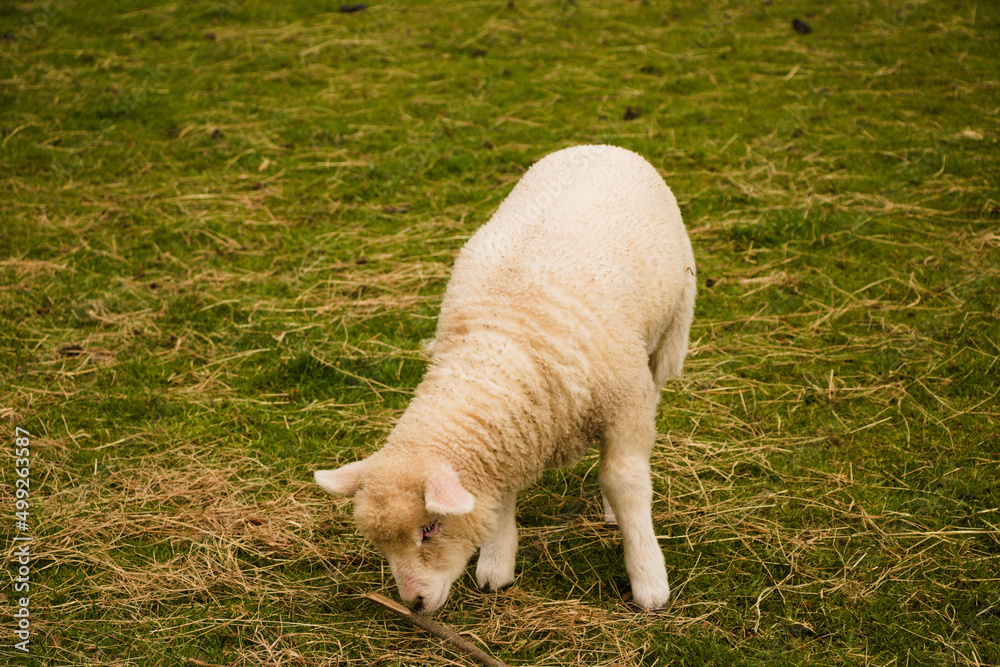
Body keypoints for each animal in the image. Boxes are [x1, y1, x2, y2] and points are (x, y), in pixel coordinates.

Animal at [315, 144, 696, 614]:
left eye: (430, 529)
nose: (415, 603)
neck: (501, 345)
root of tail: (600, 146)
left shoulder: (627, 404)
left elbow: (627, 483)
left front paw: (648, 579)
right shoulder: (511, 432)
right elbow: (502, 495)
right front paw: (497, 564)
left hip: (668, 336)